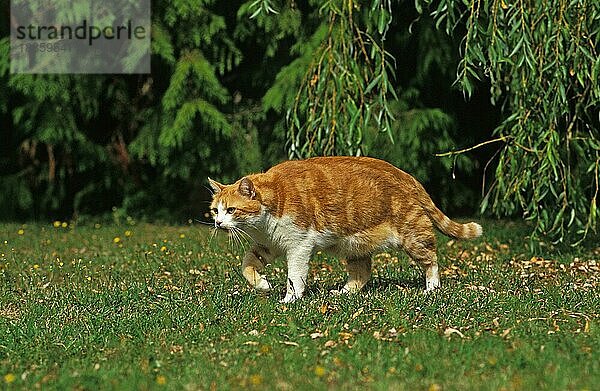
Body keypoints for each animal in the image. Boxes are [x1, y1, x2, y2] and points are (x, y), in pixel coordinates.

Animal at [209, 156, 480, 304]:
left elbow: (294, 276)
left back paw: (431, 288)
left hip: (412, 235)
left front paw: (290, 299)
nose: (218, 223)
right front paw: (263, 285)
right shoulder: (267, 245)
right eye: (215, 210)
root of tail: (406, 175)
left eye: (231, 210)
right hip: (354, 244)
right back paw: (343, 293)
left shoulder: (299, 246)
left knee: (431, 260)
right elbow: (247, 266)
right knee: (362, 272)